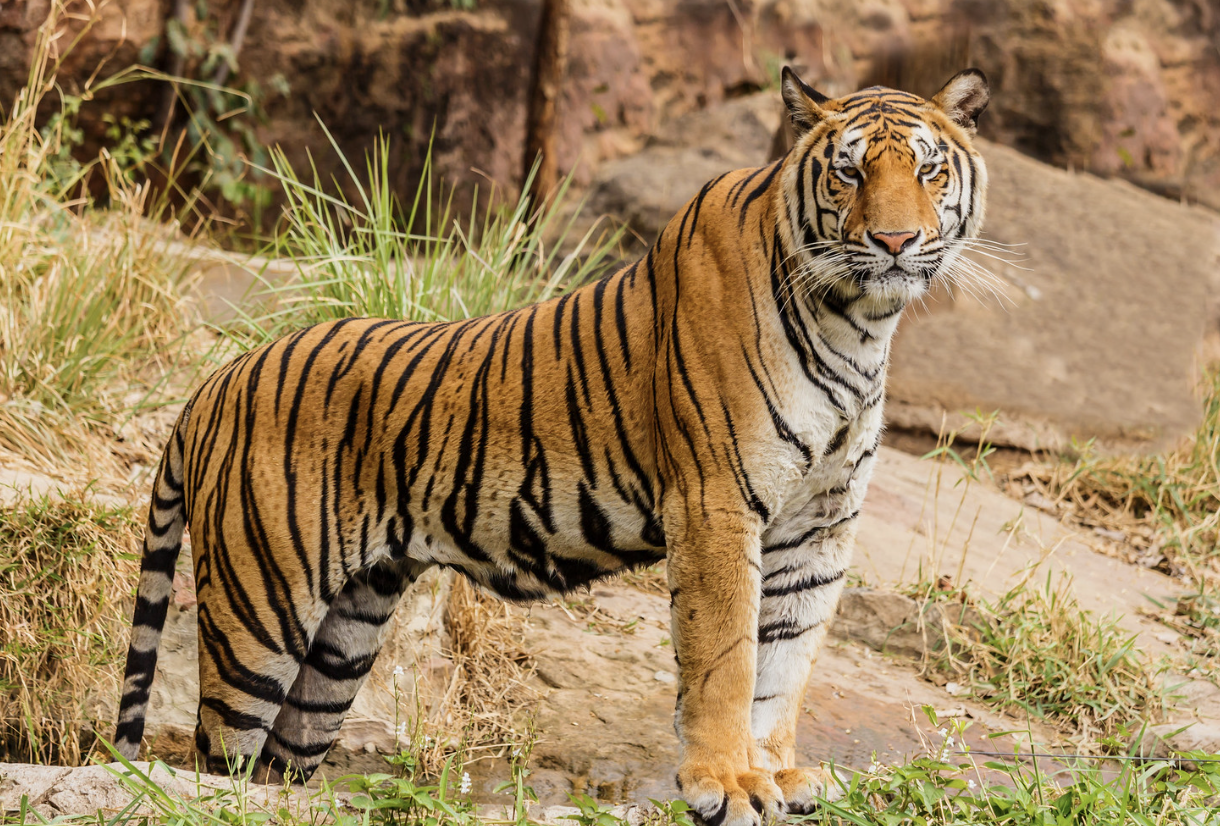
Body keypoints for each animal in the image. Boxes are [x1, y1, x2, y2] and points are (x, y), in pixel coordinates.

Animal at [114, 66, 989, 825]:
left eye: (929, 171)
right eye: (848, 173)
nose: (895, 240)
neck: (858, 324)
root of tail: (215, 381)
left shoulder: (820, 524)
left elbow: (786, 661)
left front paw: (776, 775)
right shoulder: (716, 504)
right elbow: (727, 658)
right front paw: (728, 783)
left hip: (343, 639)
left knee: (277, 765)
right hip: (258, 610)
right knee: (216, 755)